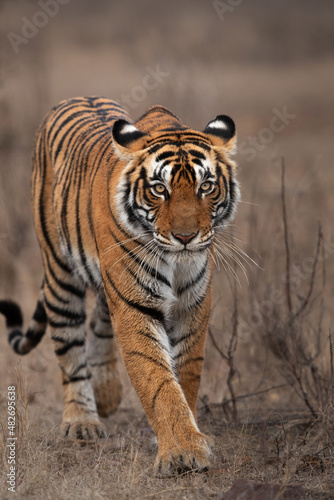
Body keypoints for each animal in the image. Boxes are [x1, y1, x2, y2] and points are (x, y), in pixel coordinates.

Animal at [0, 95, 240, 474]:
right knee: (70, 347)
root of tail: (76, 97)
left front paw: (190, 438)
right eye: (159, 189)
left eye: (206, 187)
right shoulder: (136, 305)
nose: (186, 237)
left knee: (99, 321)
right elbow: (158, 380)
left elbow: (186, 374)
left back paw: (107, 393)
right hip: (59, 274)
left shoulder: (192, 306)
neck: (176, 261)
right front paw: (182, 453)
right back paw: (82, 421)